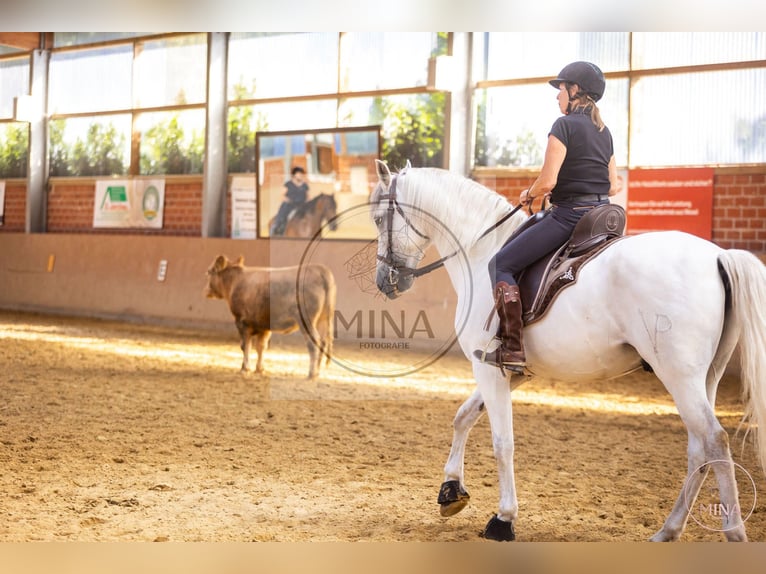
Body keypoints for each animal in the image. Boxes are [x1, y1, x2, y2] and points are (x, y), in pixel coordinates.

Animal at [370, 159, 766, 542]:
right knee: (699, 448)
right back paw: (668, 531)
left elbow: (502, 442)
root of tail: (718, 256)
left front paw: (504, 519)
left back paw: (731, 533)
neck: (482, 249)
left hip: (679, 375)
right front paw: (451, 490)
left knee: (714, 441)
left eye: (377, 218)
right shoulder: (511, 371)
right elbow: (464, 416)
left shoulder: (487, 368)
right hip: (707, 376)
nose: (384, 282)